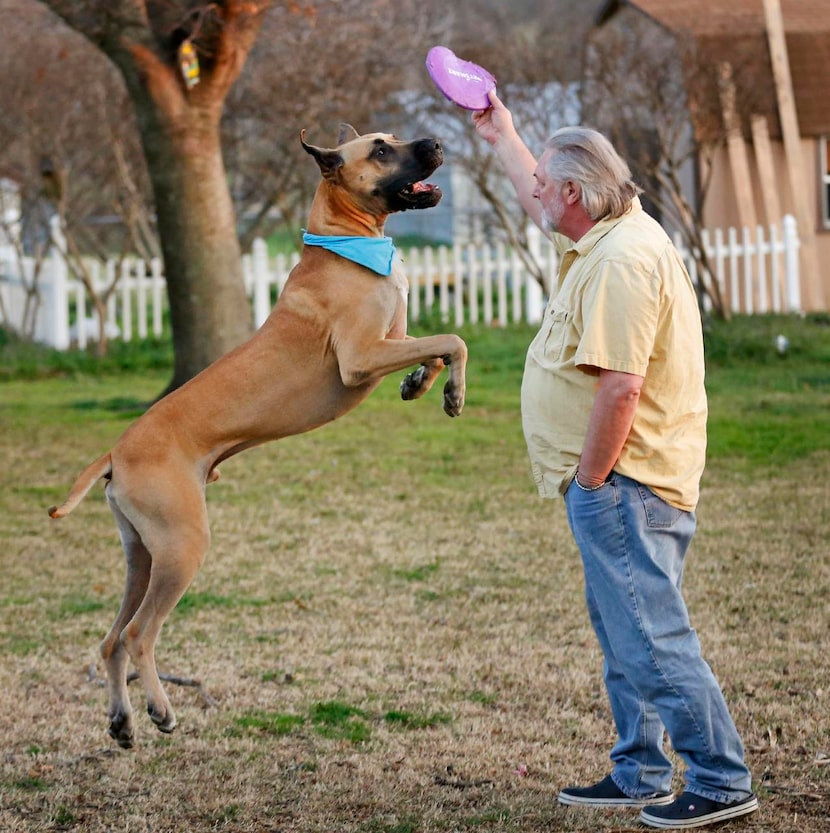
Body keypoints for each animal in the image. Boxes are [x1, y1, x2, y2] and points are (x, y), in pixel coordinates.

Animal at [50, 123, 468, 748]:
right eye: (380, 150)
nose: (436, 143)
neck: (347, 240)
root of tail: (115, 452)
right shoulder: (362, 357)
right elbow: (453, 339)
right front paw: (450, 391)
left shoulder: (393, 339)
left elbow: (436, 348)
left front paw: (421, 385)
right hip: (182, 547)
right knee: (138, 635)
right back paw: (160, 710)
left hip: (142, 555)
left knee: (109, 639)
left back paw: (122, 722)